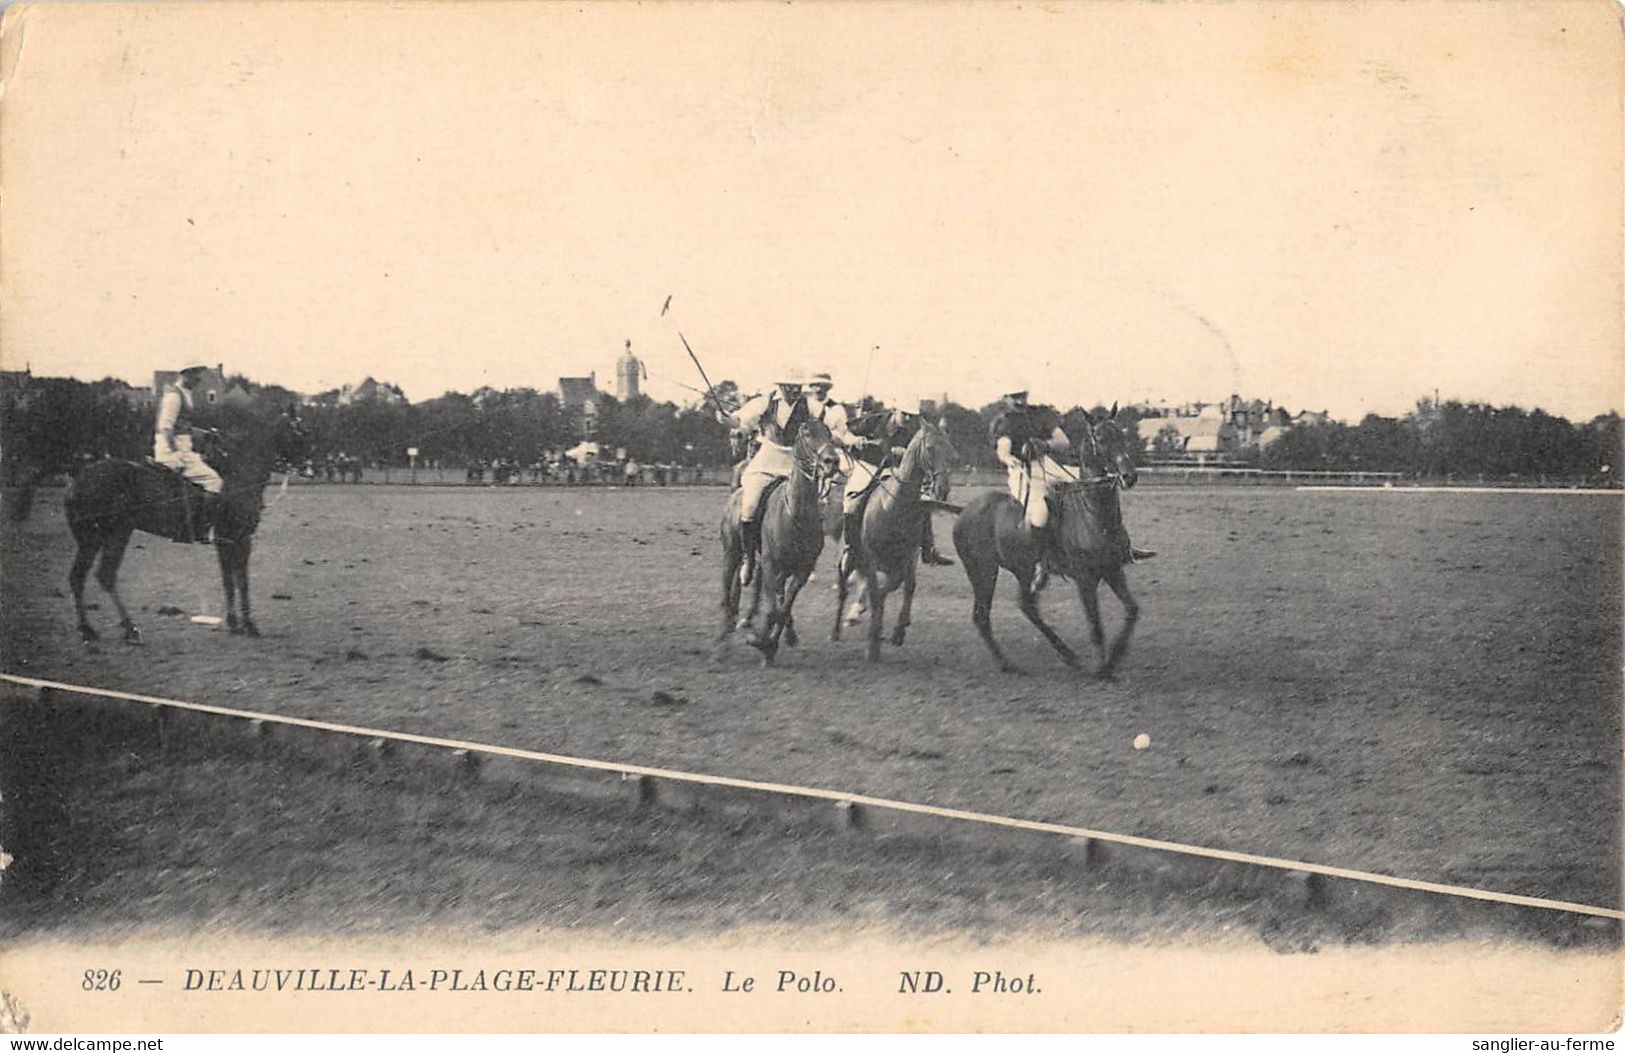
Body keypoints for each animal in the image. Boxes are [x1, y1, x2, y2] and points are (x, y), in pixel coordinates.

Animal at [11, 403, 307, 646]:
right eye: (298, 432)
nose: (307, 466)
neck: (240, 473)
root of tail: (79, 472)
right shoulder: (239, 539)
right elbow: (242, 581)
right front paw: (250, 625)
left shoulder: (225, 542)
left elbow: (228, 581)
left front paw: (234, 623)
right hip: (111, 534)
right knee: (101, 575)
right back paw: (126, 629)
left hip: (95, 537)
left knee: (80, 577)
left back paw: (91, 629)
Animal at [718, 416, 838, 656]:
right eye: (807, 432)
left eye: (829, 433)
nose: (832, 461)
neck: (797, 515)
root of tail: (736, 495)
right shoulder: (771, 565)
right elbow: (773, 609)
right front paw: (760, 639)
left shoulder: (801, 571)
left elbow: (783, 608)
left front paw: (769, 642)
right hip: (732, 553)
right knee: (729, 586)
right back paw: (725, 635)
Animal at [838, 416, 949, 656]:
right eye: (930, 448)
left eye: (951, 450)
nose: (943, 489)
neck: (893, 506)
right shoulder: (871, 556)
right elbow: (875, 590)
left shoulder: (908, 555)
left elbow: (907, 586)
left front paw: (898, 630)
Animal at [949, 407, 1144, 679]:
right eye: (1101, 439)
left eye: (1122, 436)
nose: (1129, 476)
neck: (1094, 515)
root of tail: (963, 511)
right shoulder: (1085, 578)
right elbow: (1095, 624)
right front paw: (1101, 668)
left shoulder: (1113, 570)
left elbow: (1132, 610)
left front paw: (1114, 658)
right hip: (983, 570)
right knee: (983, 615)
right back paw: (1010, 663)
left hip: (1021, 568)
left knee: (1026, 605)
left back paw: (1068, 656)